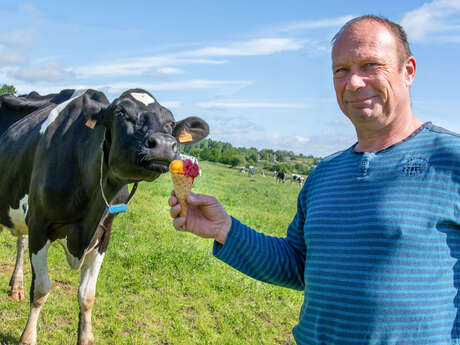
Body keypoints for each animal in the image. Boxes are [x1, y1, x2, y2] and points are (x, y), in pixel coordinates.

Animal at [0, 88, 208, 344]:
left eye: (170, 123)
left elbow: (87, 295)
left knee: (21, 240)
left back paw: (15, 287)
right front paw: (28, 337)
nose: (163, 144)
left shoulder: (104, 233)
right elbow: (41, 290)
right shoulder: (40, 224)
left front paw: (86, 337)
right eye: (120, 113)